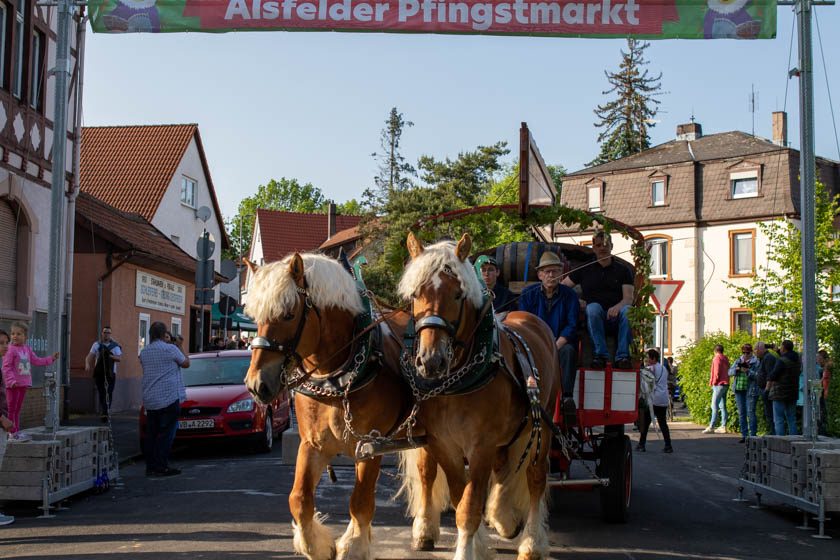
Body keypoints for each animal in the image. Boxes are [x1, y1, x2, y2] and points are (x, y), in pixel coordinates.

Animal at [243, 254, 446, 560]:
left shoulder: (370, 445)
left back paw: (428, 528)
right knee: (425, 472)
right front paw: (316, 544)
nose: (257, 384)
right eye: (255, 317)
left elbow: (360, 500)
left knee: (429, 473)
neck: (338, 377)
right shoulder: (313, 444)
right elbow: (298, 498)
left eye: (289, 314)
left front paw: (354, 545)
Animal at [398, 232, 560, 560]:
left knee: (535, 476)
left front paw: (466, 551)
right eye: (416, 294)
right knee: (501, 469)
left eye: (457, 295)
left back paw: (531, 542)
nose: (430, 361)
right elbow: (459, 496)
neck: (455, 384)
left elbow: (469, 507)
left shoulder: (480, 446)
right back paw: (502, 517)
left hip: (543, 423)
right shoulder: (443, 444)